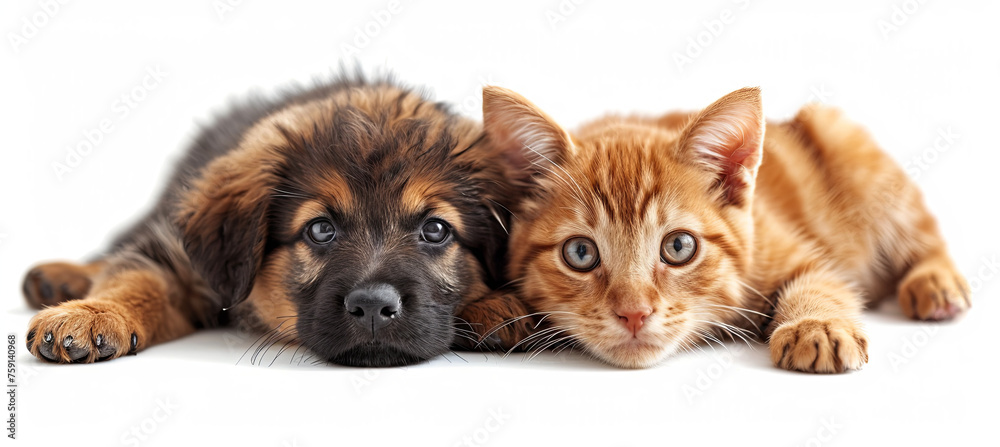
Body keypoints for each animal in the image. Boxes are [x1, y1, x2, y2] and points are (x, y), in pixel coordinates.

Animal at [21, 74, 532, 368]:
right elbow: (136, 278)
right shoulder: (181, 264)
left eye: (436, 230)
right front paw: (92, 314)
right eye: (320, 229)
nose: (372, 308)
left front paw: (499, 307)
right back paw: (60, 279)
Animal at [484, 86, 968, 372]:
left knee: (924, 236)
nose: (634, 314)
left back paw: (935, 282)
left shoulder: (796, 251)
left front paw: (816, 325)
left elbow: (822, 282)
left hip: (847, 144)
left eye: (679, 246)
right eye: (580, 253)